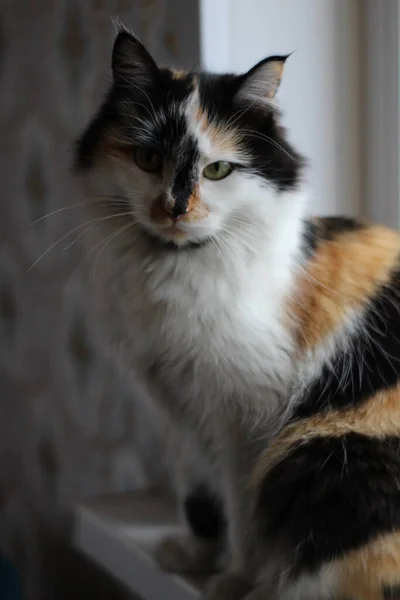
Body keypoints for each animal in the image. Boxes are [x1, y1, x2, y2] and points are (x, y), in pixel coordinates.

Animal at [73, 24, 400, 600]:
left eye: (218, 170)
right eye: (147, 159)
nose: (174, 208)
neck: (172, 272)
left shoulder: (246, 418)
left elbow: (244, 511)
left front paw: (234, 580)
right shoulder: (180, 408)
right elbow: (200, 494)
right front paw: (194, 556)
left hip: (326, 459)